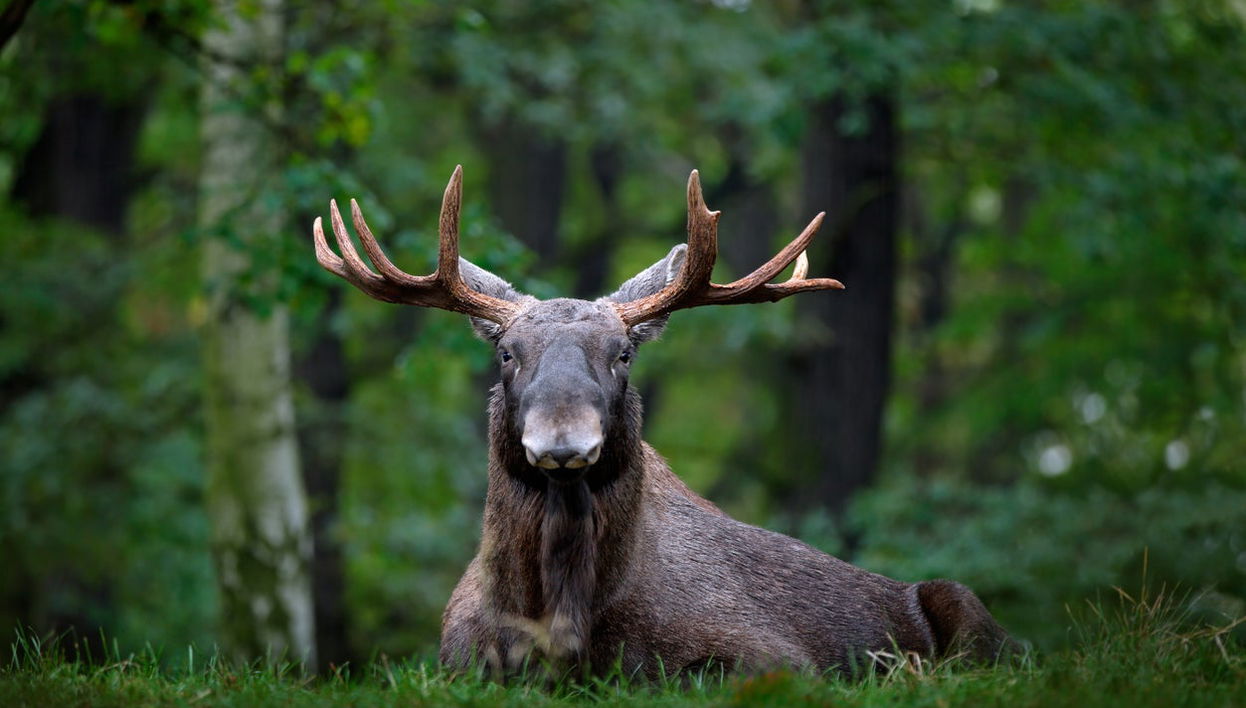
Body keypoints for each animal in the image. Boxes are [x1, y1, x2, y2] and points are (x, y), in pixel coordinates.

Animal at [312, 165, 1015, 679]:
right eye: (507, 353)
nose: (562, 440)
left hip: (971, 611)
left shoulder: (778, 658)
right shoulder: (455, 659)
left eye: (623, 353)